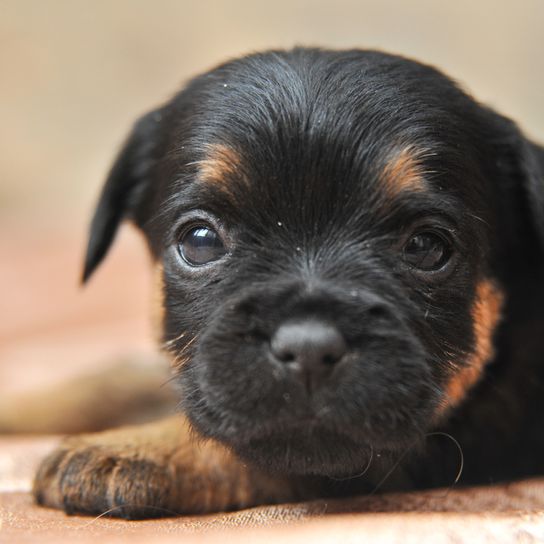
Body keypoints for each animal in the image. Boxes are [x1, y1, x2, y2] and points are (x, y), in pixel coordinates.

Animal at [34, 47, 544, 520]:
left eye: (425, 247)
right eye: (200, 240)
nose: (309, 348)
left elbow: (253, 449)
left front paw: (140, 446)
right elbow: (124, 379)